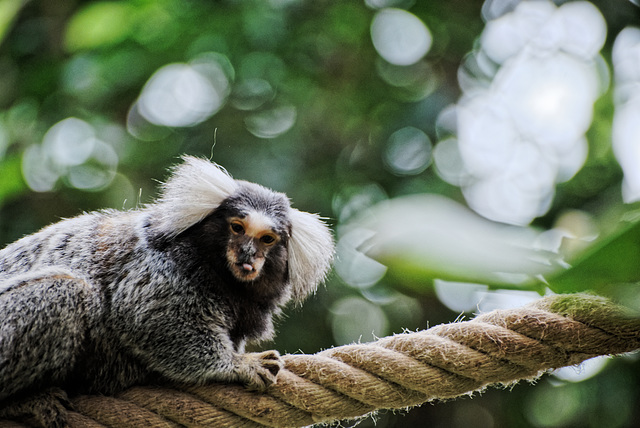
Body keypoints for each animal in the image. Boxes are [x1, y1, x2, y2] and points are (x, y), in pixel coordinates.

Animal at [0, 155, 332, 426]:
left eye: (267, 239)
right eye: (237, 228)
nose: (247, 255)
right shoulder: (161, 268)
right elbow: (146, 318)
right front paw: (237, 364)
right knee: (65, 289)